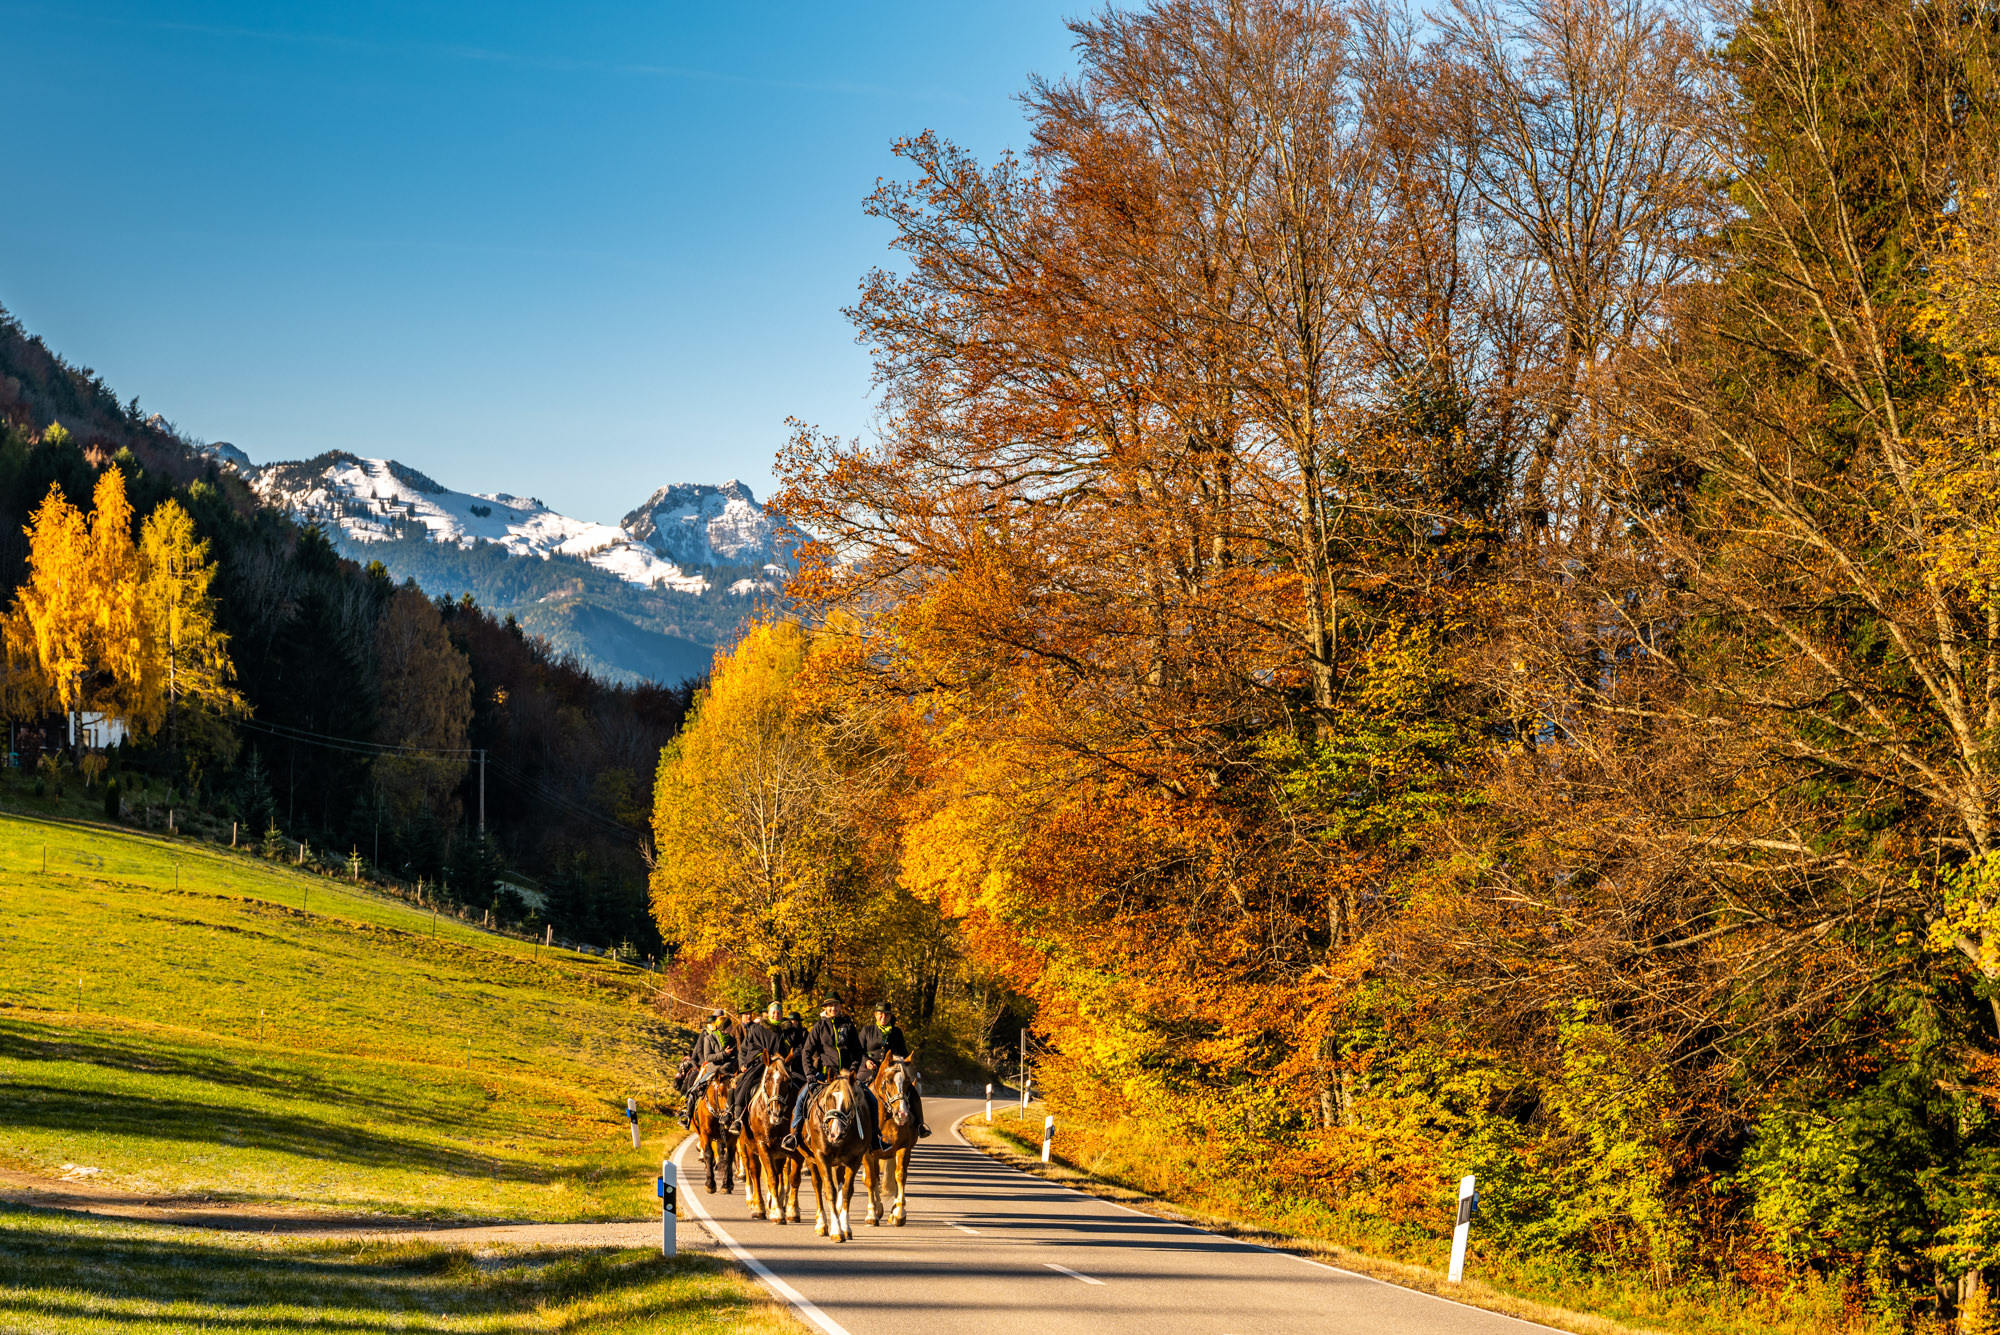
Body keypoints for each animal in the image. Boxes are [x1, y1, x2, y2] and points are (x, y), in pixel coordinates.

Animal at [688, 1065, 737, 1195]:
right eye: (720, 1094)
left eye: (735, 1094)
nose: (729, 1117)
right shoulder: (705, 1134)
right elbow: (709, 1154)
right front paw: (710, 1184)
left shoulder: (731, 1137)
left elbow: (728, 1157)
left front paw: (726, 1185)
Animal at [736, 1052, 802, 1223]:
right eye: (767, 1080)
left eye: (788, 1081)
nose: (776, 1113)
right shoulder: (763, 1146)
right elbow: (771, 1178)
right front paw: (777, 1213)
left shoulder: (796, 1151)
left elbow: (793, 1178)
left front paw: (792, 1211)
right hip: (749, 1147)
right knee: (755, 1172)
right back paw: (758, 1208)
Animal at [800, 1073, 870, 1242]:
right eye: (829, 1098)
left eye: (850, 1102)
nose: (835, 1134)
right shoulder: (821, 1157)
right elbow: (829, 1190)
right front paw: (836, 1231)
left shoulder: (854, 1160)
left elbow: (846, 1191)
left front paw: (845, 1227)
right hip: (810, 1159)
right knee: (817, 1186)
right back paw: (821, 1224)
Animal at [863, 1054, 921, 1226]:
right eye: (888, 1081)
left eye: (908, 1081)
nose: (903, 1114)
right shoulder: (867, 1153)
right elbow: (870, 1179)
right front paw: (872, 1214)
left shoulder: (903, 1148)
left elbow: (900, 1176)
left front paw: (898, 1213)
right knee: (872, 1177)